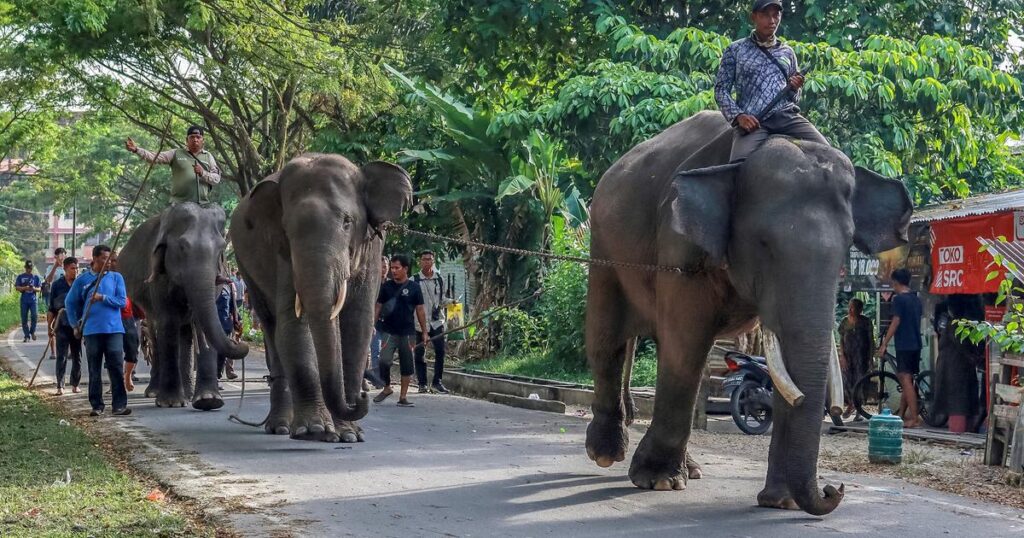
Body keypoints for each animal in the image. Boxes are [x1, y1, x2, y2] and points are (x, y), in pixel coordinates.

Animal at [120, 202, 250, 409]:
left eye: (221, 248)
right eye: (182, 247)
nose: (241, 341)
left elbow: (203, 322)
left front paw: (209, 401)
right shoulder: (159, 276)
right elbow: (168, 322)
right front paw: (170, 403)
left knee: (186, 332)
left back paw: (188, 395)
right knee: (156, 334)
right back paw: (155, 392)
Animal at [230, 153, 412, 442]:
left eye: (347, 222)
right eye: (287, 230)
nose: (363, 395)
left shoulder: (372, 249)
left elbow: (358, 324)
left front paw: (348, 434)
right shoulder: (284, 257)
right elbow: (293, 325)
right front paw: (314, 431)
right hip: (246, 270)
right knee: (271, 328)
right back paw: (281, 427)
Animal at [584, 111, 912, 516]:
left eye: (846, 248)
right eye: (763, 244)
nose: (835, 489)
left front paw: (782, 502)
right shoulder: (680, 249)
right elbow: (686, 345)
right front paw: (656, 480)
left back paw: (690, 470)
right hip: (604, 245)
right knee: (607, 338)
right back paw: (606, 454)